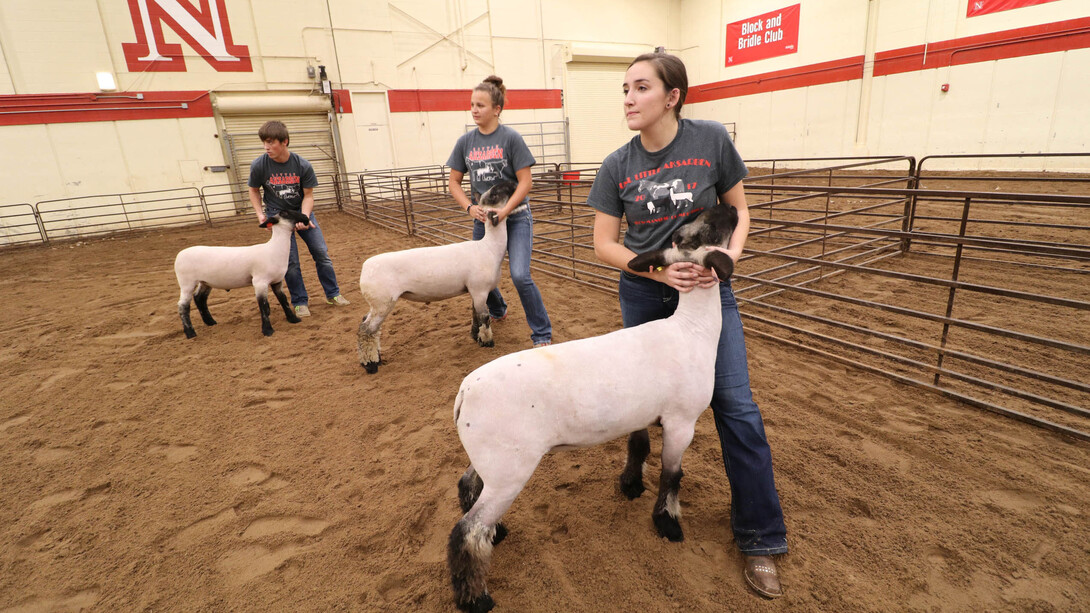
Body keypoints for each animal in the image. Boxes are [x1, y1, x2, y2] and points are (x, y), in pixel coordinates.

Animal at [173, 207, 311, 335]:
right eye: (285, 213)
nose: (306, 217)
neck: (274, 249)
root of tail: (179, 255)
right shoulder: (259, 282)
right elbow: (264, 306)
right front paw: (267, 330)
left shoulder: (277, 281)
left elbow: (283, 300)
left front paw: (293, 319)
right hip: (187, 283)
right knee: (183, 306)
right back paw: (190, 333)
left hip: (205, 282)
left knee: (199, 299)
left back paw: (210, 322)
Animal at [353, 179, 514, 373]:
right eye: (494, 194)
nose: (512, 183)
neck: (489, 248)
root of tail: (365, 269)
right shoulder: (480, 290)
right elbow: (484, 317)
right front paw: (487, 341)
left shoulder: (474, 292)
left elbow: (475, 314)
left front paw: (475, 336)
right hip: (383, 302)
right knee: (366, 330)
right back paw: (370, 364)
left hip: (376, 303)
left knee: (369, 326)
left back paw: (376, 357)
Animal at [444, 202, 741, 606]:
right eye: (708, 229)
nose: (732, 207)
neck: (692, 329)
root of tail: (464, 392)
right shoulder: (682, 421)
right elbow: (672, 475)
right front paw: (667, 523)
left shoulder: (641, 413)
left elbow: (638, 446)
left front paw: (630, 487)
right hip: (510, 469)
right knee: (468, 531)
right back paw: (475, 600)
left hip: (492, 456)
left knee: (467, 485)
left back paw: (498, 535)